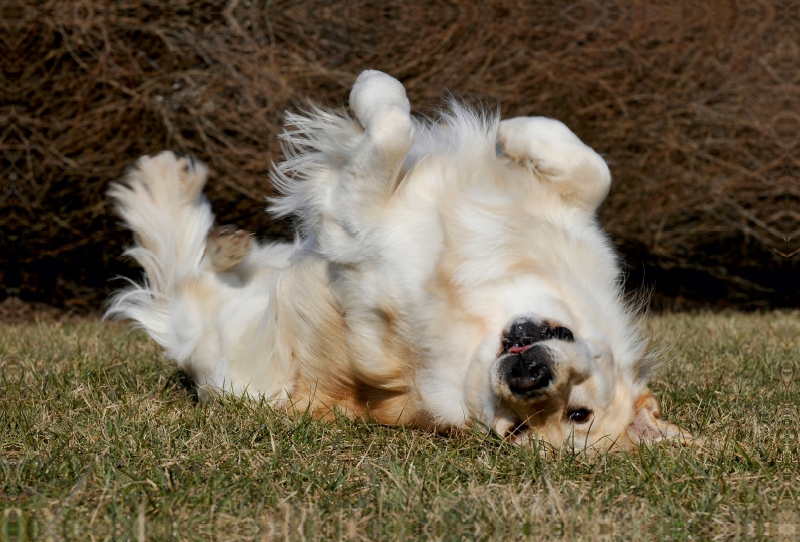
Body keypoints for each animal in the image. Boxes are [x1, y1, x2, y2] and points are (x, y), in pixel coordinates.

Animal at [106, 72, 692, 454]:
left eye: (523, 431)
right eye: (580, 411)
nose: (530, 376)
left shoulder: (360, 225)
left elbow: (391, 126)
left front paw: (372, 90)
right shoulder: (577, 227)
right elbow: (594, 169)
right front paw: (516, 132)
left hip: (220, 341)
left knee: (184, 271)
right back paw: (227, 235)